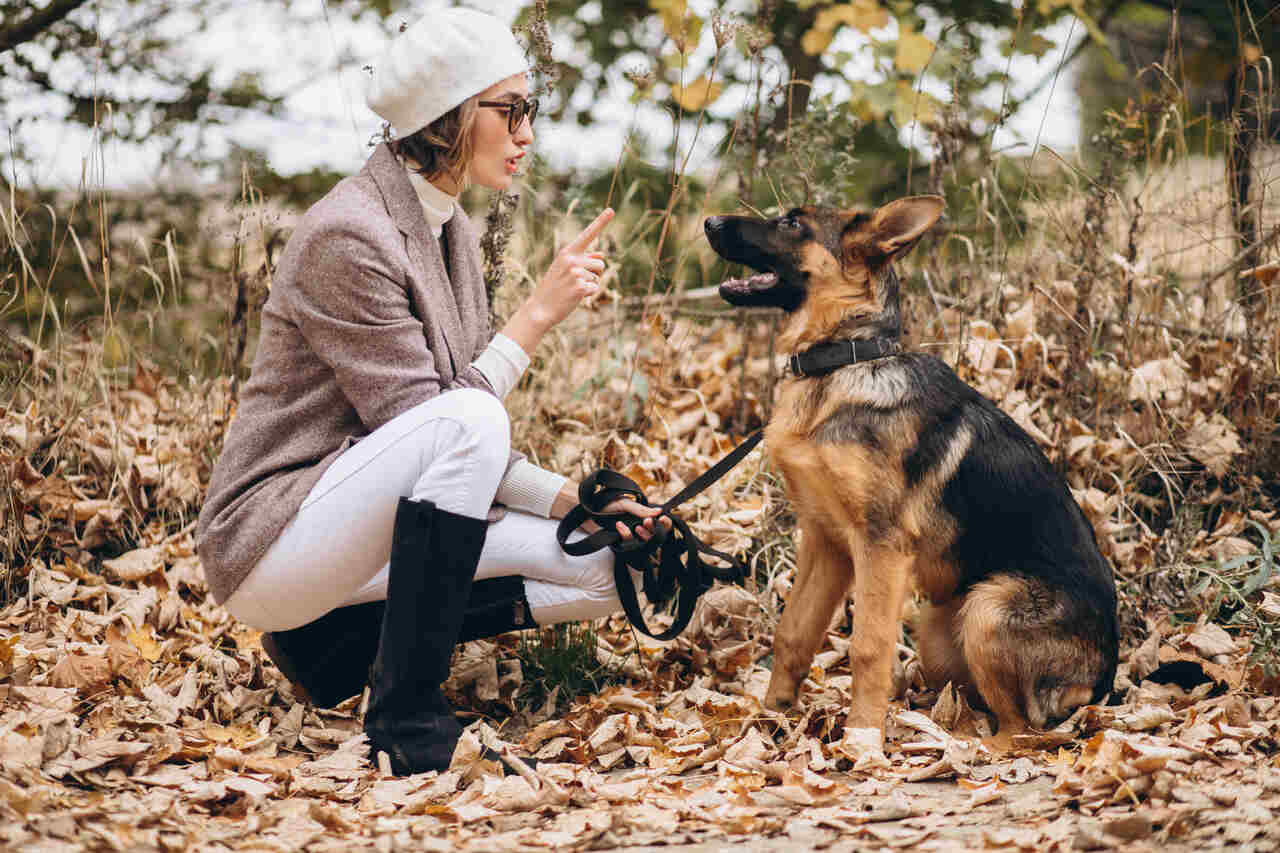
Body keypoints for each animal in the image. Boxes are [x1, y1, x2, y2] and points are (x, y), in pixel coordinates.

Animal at [706, 197, 1116, 737]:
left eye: (793, 223)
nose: (709, 222)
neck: (844, 362)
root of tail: (1105, 682)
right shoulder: (826, 541)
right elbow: (793, 633)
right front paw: (773, 715)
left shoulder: (881, 546)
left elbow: (867, 647)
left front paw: (861, 737)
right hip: (939, 630)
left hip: (988, 608)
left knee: (1021, 729)